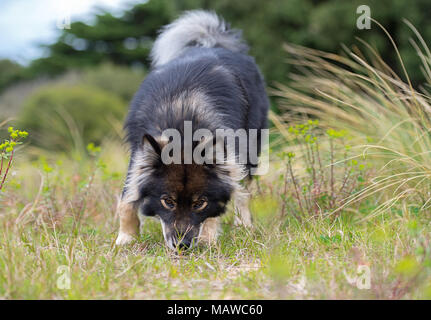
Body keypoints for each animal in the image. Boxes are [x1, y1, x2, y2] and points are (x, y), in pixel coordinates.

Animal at [116, 10, 268, 250]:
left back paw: (244, 225)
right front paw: (126, 238)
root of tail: (213, 42)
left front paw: (208, 238)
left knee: (245, 190)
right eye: (168, 202)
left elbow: (223, 201)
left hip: (251, 148)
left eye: (199, 203)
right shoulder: (138, 155)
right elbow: (127, 199)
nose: (182, 246)